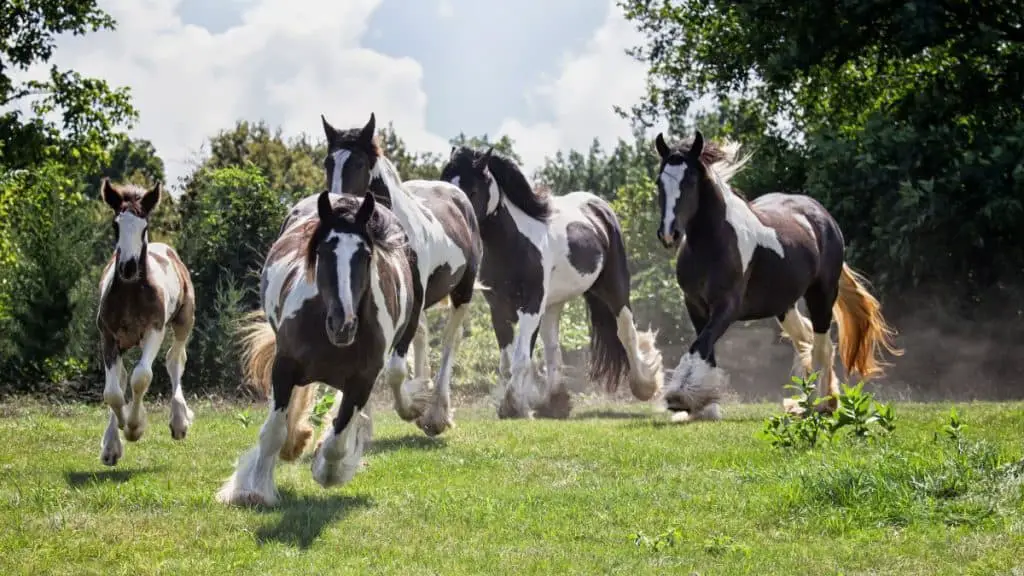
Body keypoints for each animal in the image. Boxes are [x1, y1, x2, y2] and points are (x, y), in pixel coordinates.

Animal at [97, 179, 197, 467]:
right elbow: (113, 391)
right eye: (116, 225)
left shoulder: (154, 330)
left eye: (144, 227)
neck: (132, 292)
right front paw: (116, 437)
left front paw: (134, 427)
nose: (128, 267)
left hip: (184, 321)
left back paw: (179, 420)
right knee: (120, 378)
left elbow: (142, 377)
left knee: (175, 360)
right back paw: (112, 442)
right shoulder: (108, 336)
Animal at [218, 190, 417, 504]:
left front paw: (327, 470)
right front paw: (253, 490)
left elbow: (338, 438)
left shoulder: (362, 381)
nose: (343, 324)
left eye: (366, 255)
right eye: (323, 252)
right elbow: (273, 431)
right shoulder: (284, 367)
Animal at [438, 145, 663, 420]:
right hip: (553, 304)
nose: (456, 220)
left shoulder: (531, 304)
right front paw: (521, 402)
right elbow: (508, 362)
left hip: (614, 288)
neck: (514, 244)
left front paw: (513, 406)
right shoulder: (498, 307)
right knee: (552, 347)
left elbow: (521, 358)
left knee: (626, 332)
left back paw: (644, 387)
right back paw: (556, 403)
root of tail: (599, 207)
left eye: (472, 190)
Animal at [651, 130, 901, 416]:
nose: (668, 234)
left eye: (691, 180)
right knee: (805, 340)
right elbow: (706, 347)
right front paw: (705, 405)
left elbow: (700, 345)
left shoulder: (727, 306)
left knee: (822, 345)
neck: (713, 243)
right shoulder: (695, 304)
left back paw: (822, 403)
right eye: (659, 182)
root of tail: (822, 217)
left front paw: (680, 396)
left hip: (822, 294)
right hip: (784, 304)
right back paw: (808, 401)